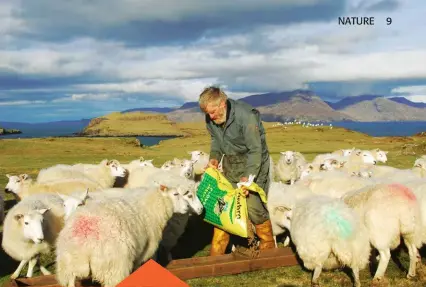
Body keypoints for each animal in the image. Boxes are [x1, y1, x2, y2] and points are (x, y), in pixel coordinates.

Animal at [55, 184, 204, 287]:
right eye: (175, 194)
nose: (187, 207)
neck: (151, 207)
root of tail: (84, 239)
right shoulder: (144, 250)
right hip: (114, 267)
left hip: (68, 266)